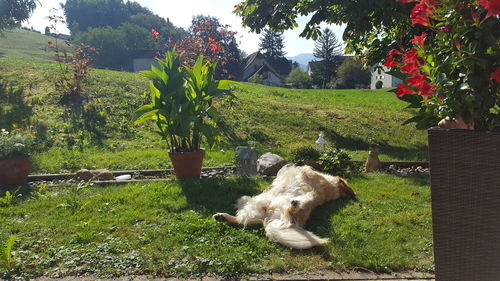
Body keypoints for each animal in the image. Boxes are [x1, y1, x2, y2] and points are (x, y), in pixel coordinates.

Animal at [212, 163, 356, 248]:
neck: (332, 188)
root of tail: (267, 218)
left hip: (305, 201)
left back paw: (294, 204)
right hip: (252, 205)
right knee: (241, 220)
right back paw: (222, 217)